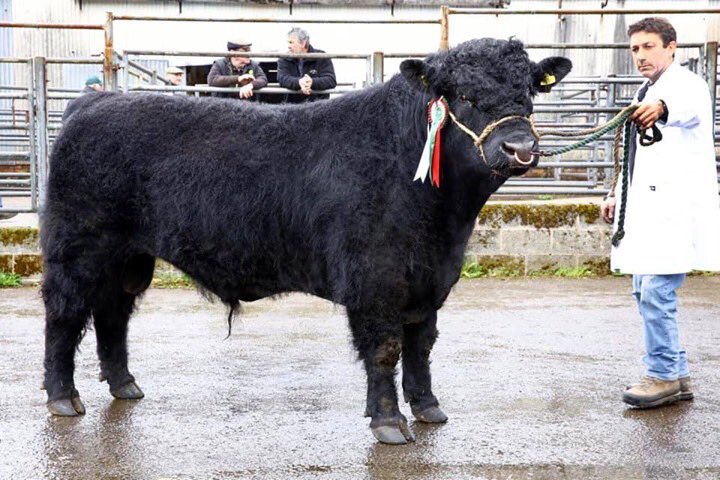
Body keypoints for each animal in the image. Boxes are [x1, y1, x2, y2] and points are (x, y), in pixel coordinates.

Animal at [41, 38, 571, 444]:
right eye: (461, 94)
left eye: (528, 91)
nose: (520, 147)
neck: (445, 217)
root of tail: (95, 102)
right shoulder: (374, 279)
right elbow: (385, 349)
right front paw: (389, 423)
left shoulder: (429, 280)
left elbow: (421, 346)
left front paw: (428, 408)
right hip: (77, 249)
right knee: (65, 315)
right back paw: (63, 397)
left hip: (129, 258)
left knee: (113, 315)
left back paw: (125, 386)